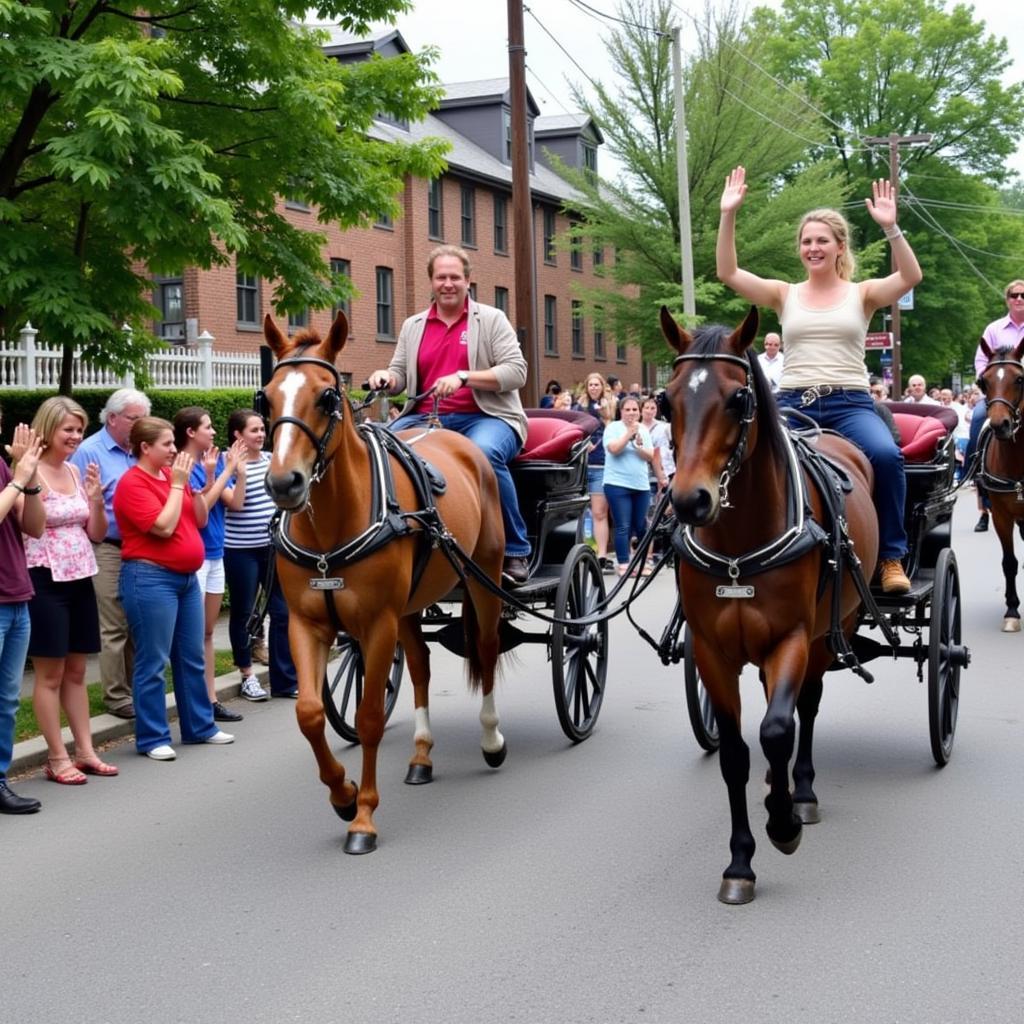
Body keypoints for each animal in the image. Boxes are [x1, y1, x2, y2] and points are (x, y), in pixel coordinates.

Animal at [260, 311, 507, 856]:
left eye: (327, 396)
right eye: (265, 398)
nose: (284, 483)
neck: (332, 527)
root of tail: (449, 433)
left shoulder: (376, 625)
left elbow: (371, 716)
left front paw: (364, 817)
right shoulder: (307, 624)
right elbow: (310, 713)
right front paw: (343, 793)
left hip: (486, 577)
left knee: (485, 650)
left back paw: (491, 739)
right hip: (412, 607)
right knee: (420, 666)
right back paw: (422, 755)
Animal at [659, 305, 884, 905]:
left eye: (738, 399)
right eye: (666, 401)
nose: (689, 500)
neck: (739, 547)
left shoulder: (793, 639)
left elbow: (780, 728)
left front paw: (782, 823)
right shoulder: (712, 651)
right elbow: (736, 753)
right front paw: (740, 861)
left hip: (831, 631)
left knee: (805, 706)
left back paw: (797, 792)